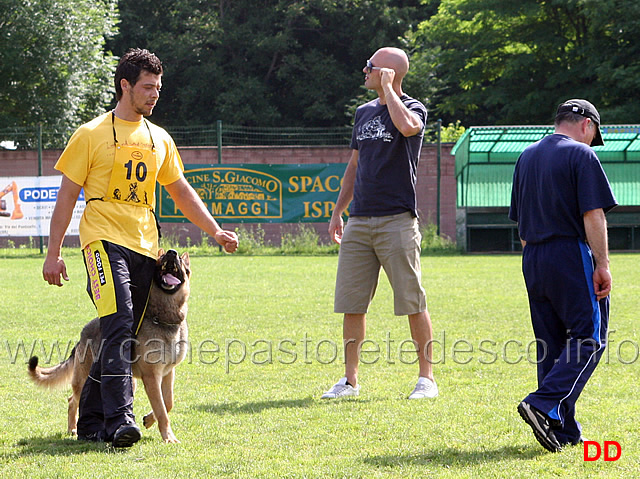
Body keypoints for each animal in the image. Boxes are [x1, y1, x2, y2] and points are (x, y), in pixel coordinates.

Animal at [28, 249, 190, 444]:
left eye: (180, 260)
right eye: (161, 258)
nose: (172, 253)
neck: (163, 318)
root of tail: (82, 335)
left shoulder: (167, 372)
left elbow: (168, 402)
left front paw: (149, 419)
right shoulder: (152, 376)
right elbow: (162, 410)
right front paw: (168, 437)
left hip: (130, 382)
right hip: (86, 378)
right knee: (72, 400)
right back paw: (74, 429)